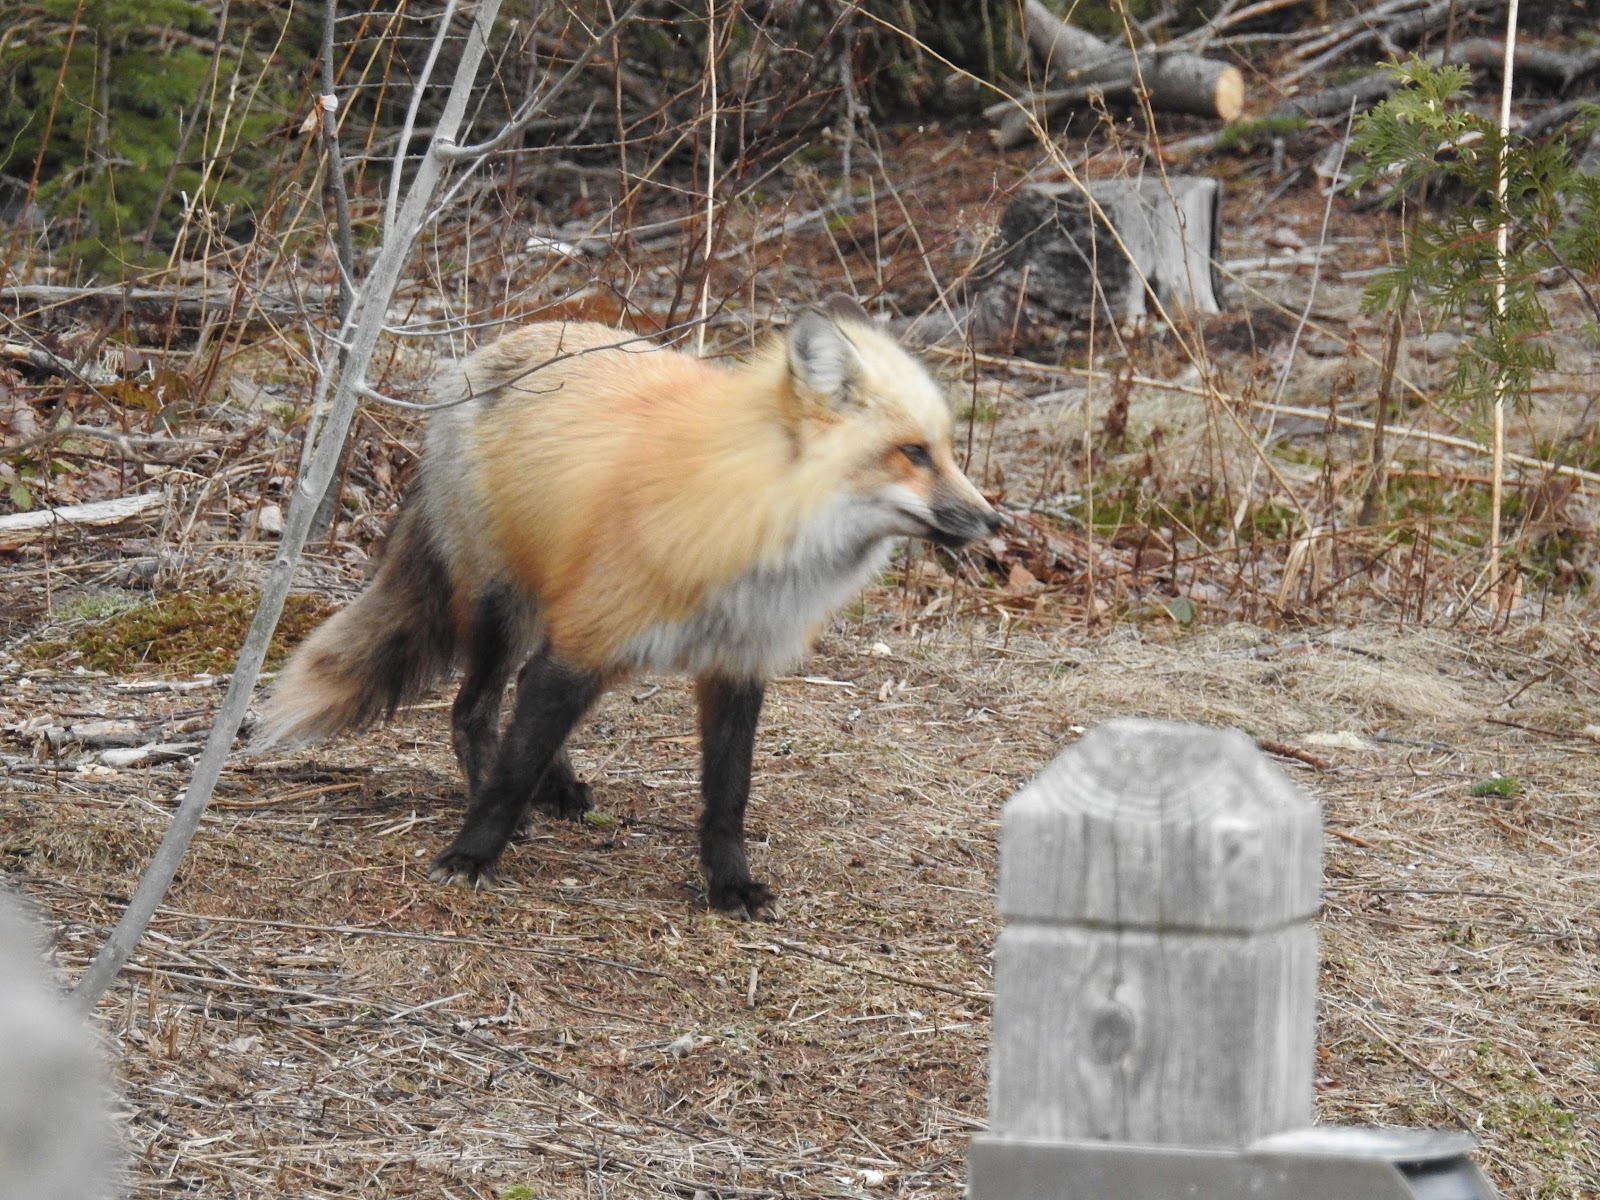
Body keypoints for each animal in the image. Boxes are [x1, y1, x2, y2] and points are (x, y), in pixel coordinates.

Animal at [256, 296, 1001, 917]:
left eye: (947, 451)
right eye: (913, 453)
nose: (995, 522)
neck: (752, 521)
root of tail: (483, 355)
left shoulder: (737, 662)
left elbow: (728, 796)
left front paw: (729, 885)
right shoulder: (588, 640)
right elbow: (514, 767)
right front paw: (472, 851)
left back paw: (560, 789)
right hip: (508, 608)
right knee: (474, 709)